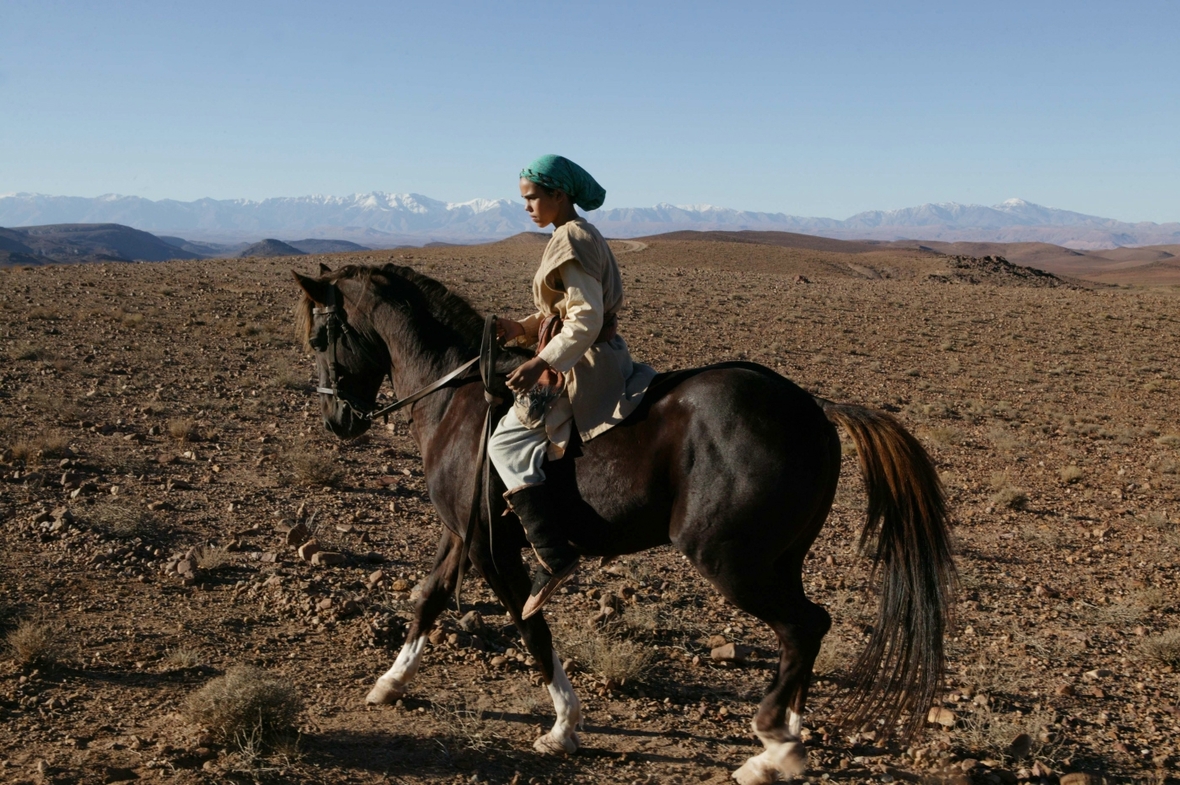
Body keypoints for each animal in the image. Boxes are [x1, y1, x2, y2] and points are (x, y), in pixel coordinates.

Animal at [295, 263, 958, 783]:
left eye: (322, 335)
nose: (336, 420)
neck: (458, 400)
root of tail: (814, 408)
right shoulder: (466, 532)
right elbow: (429, 597)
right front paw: (391, 682)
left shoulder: (491, 549)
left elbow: (530, 625)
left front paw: (563, 727)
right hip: (779, 559)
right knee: (806, 628)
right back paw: (788, 733)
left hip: (729, 560)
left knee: (803, 626)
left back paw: (773, 750)